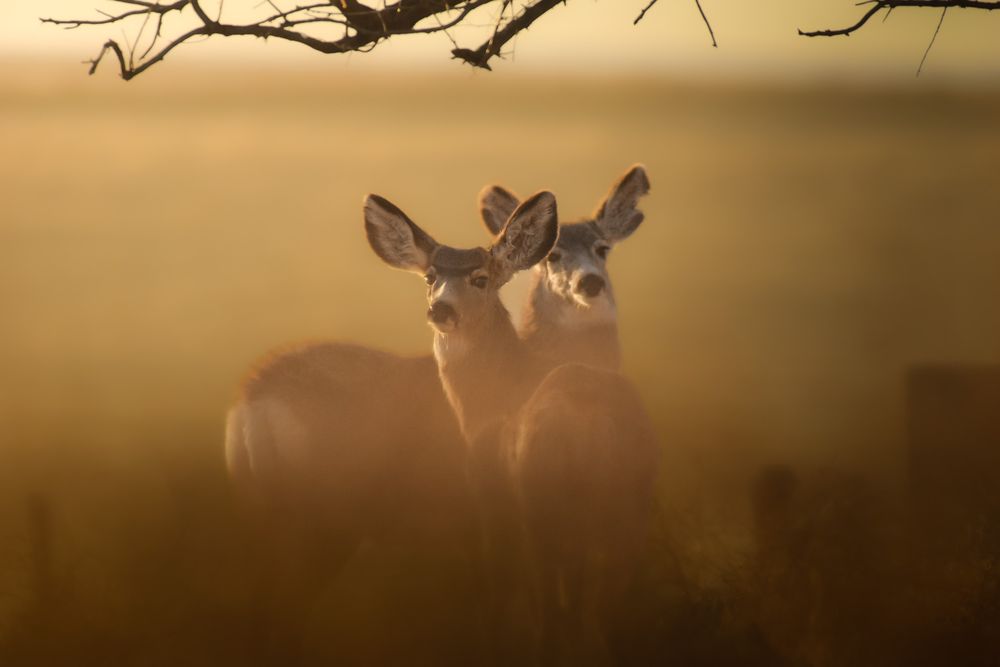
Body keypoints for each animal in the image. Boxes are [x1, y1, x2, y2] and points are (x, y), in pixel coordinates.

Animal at [364, 189, 659, 665]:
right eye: (430, 276)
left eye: (481, 278)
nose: (440, 309)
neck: (488, 400)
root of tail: (595, 431)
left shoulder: (489, 494)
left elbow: (498, 590)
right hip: (630, 513)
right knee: (609, 614)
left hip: (543, 509)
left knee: (556, 614)